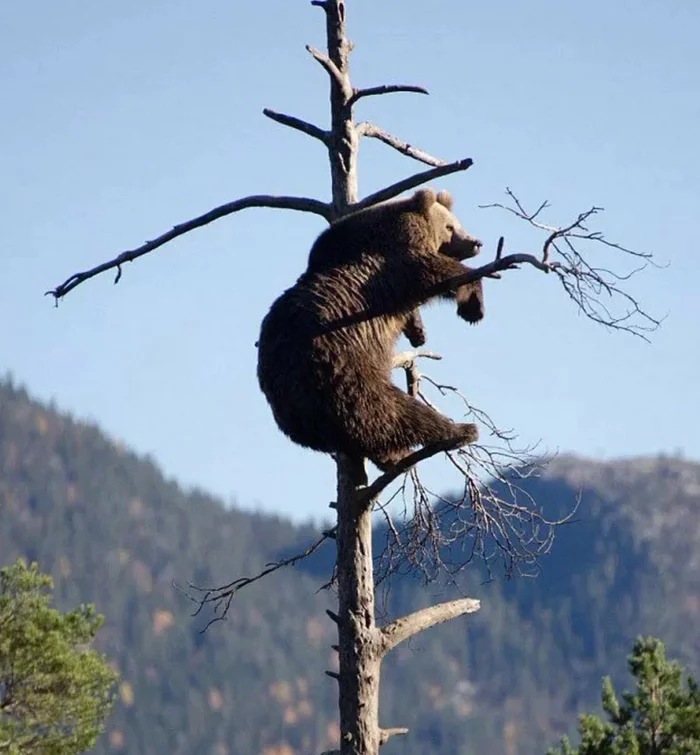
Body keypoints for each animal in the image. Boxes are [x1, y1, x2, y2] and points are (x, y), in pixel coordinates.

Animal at [258, 188, 486, 472]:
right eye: (450, 226)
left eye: (457, 223)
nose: (476, 242)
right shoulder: (392, 264)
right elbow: (433, 271)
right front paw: (473, 306)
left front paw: (418, 332)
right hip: (348, 371)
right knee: (397, 411)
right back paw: (459, 430)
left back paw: (394, 457)